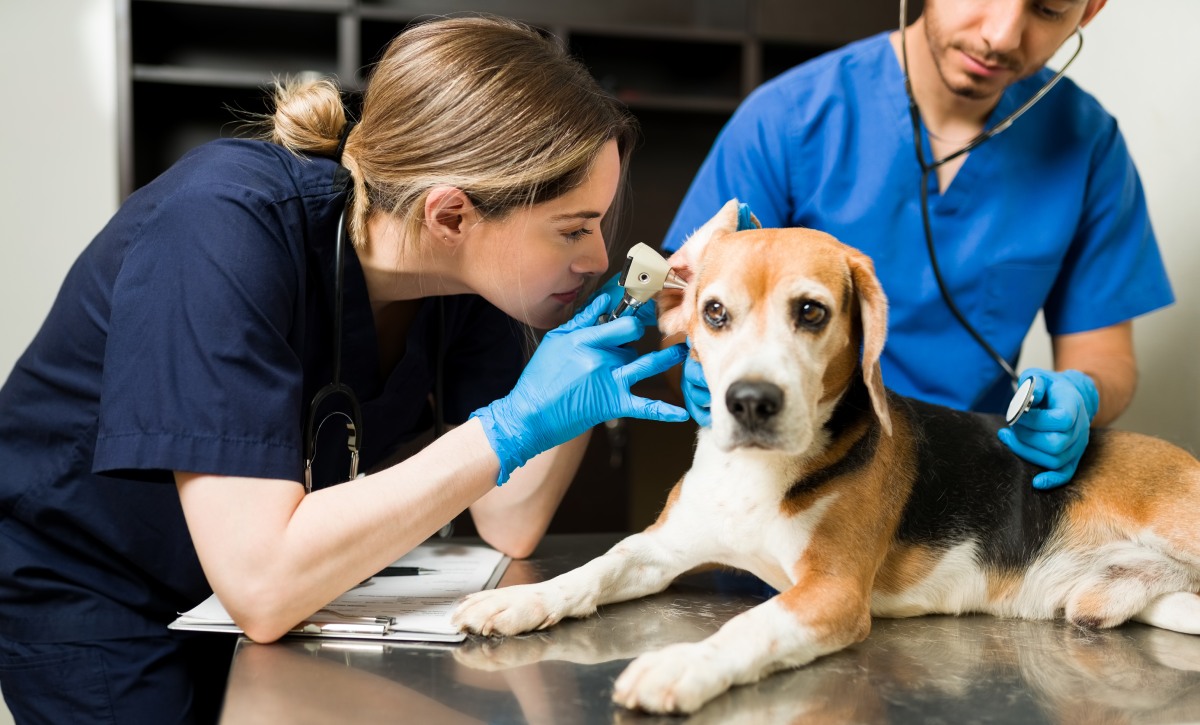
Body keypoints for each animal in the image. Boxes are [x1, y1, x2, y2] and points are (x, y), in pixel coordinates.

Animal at [451, 198, 1200, 715]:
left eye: (810, 312)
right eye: (714, 312)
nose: (751, 401)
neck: (754, 477)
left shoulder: (831, 593)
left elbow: (749, 627)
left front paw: (682, 665)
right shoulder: (660, 547)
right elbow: (595, 568)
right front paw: (518, 599)